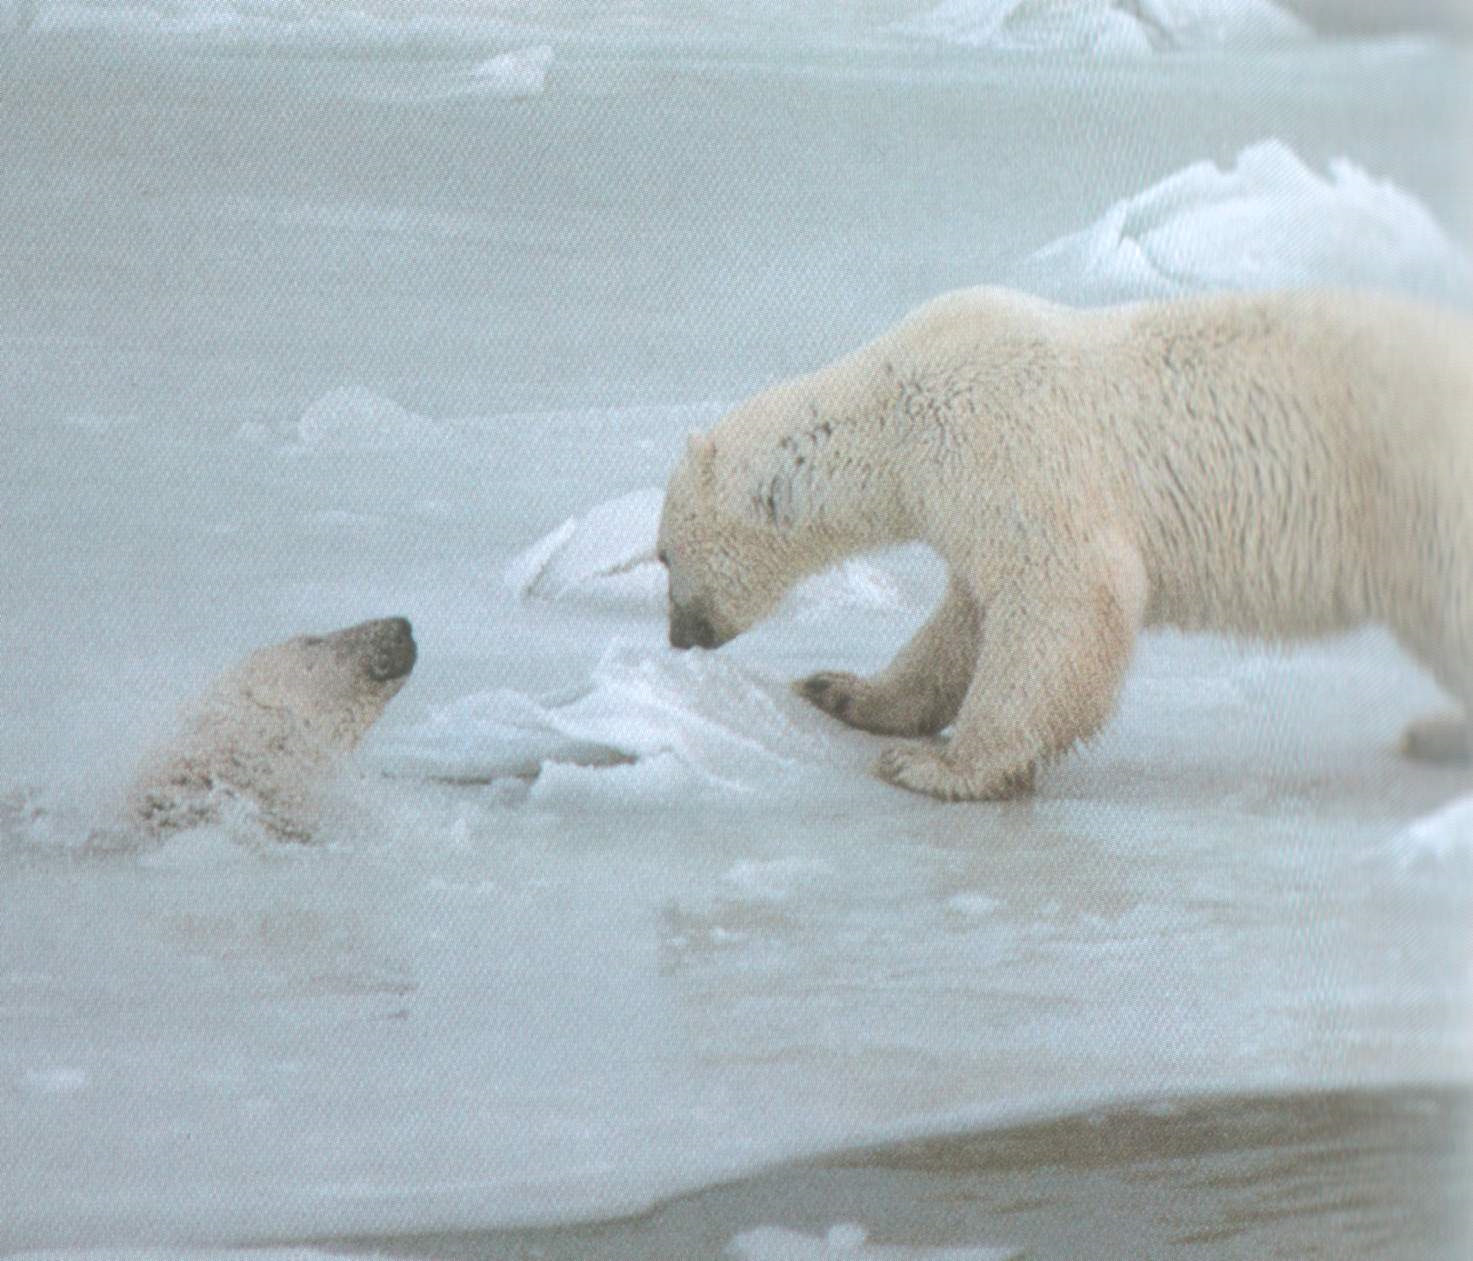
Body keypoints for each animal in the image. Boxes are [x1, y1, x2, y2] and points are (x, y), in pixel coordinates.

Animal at [659, 288, 1473, 795]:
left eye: (664, 555)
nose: (677, 636)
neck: (900, 406)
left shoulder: (1004, 444)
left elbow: (1065, 596)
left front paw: (938, 767)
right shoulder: (969, 498)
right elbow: (964, 618)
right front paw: (844, 691)